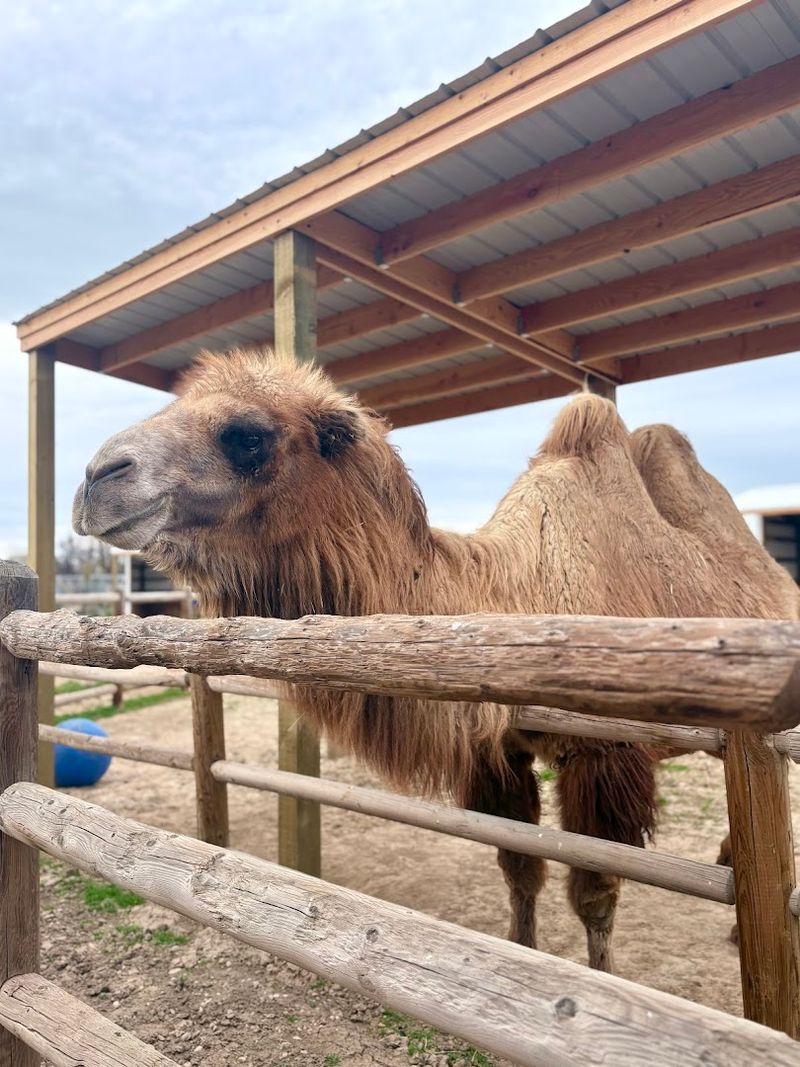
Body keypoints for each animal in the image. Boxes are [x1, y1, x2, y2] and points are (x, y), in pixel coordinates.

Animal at [72, 346, 798, 972]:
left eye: (246, 434)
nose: (96, 479)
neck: (523, 597)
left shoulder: (607, 755)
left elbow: (595, 896)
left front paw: (603, 984)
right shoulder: (498, 749)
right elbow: (520, 870)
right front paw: (524, 956)